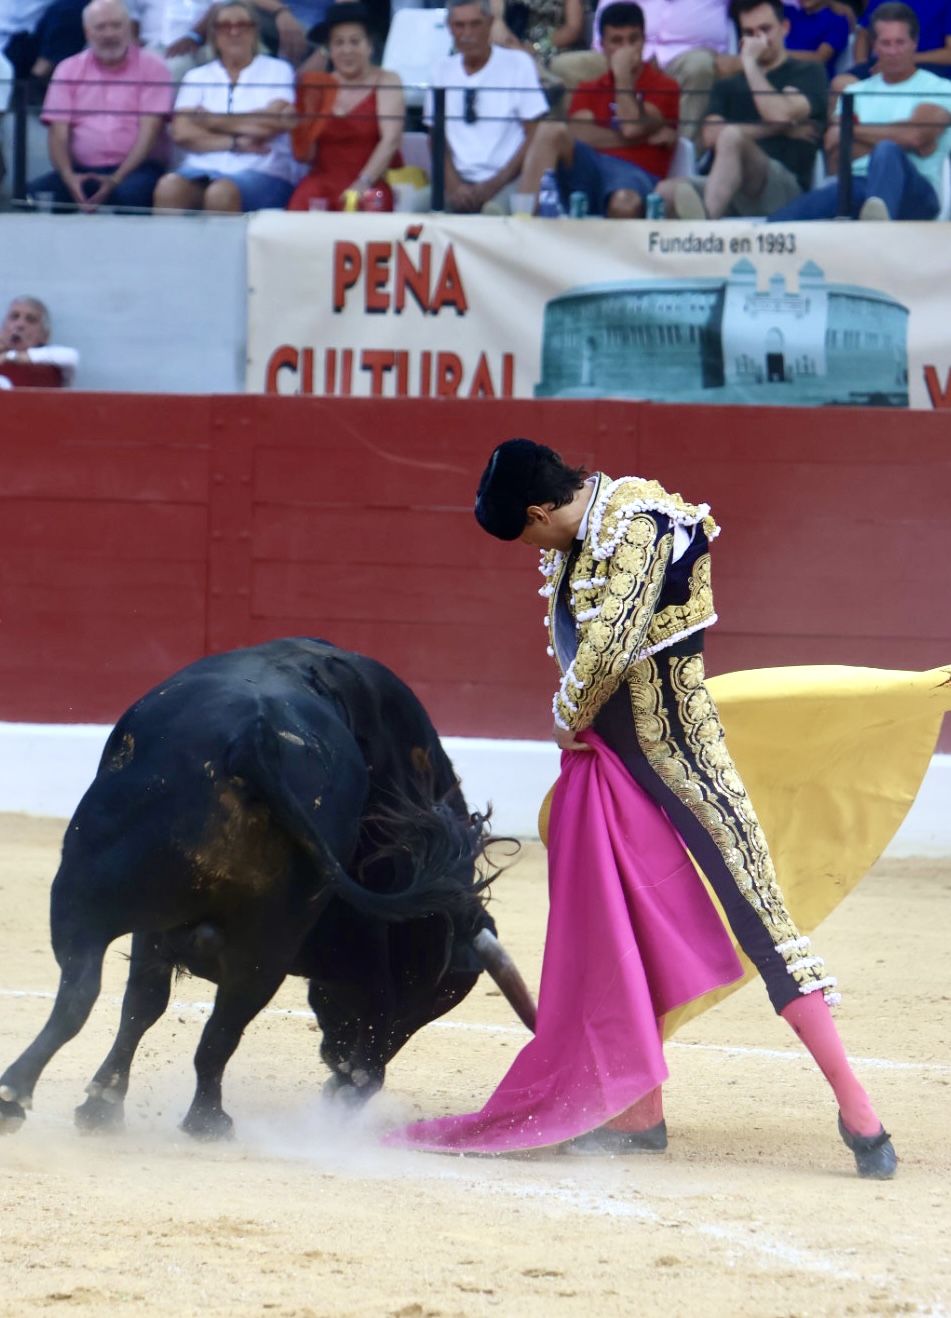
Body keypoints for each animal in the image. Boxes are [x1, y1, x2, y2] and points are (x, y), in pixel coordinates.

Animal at [0, 643, 532, 1138]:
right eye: (431, 992)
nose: (353, 1082)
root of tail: (251, 743)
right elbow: (147, 1005)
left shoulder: (157, 928)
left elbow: (142, 1004)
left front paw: (101, 1104)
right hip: (250, 939)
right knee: (198, 1024)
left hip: (96, 899)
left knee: (88, 994)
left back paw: (47, 1100)